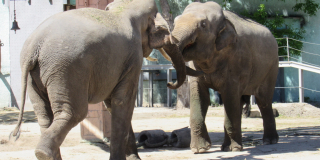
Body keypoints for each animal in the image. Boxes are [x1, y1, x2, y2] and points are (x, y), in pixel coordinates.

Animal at [10, 0, 196, 159]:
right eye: (162, 30)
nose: (169, 83)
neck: (122, 10)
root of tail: (35, 45)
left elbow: (113, 104)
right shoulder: (133, 58)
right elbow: (123, 102)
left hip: (37, 73)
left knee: (44, 115)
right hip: (67, 68)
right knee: (74, 112)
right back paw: (42, 153)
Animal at [170, 2, 280, 152]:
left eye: (203, 24)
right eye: (174, 22)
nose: (169, 83)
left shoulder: (236, 62)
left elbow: (229, 96)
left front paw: (234, 149)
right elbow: (200, 97)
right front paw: (199, 150)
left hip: (271, 68)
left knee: (263, 101)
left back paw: (269, 141)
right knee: (240, 101)